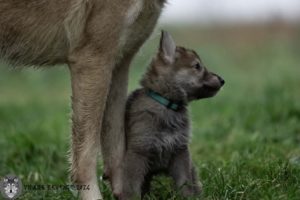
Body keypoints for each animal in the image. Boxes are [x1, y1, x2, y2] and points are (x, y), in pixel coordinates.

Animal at [115, 31, 225, 198]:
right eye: (197, 66)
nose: (222, 80)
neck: (167, 104)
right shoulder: (138, 152)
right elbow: (132, 186)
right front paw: (131, 198)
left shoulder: (180, 152)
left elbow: (185, 183)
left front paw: (189, 198)